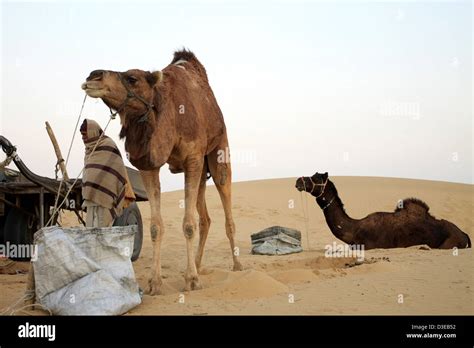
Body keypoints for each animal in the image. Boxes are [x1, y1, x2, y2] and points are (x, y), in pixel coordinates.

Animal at [81, 49, 243, 294]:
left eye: (132, 78)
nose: (93, 76)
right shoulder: (150, 166)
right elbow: (156, 226)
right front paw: (154, 283)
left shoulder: (193, 158)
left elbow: (188, 224)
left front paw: (192, 281)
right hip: (201, 172)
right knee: (205, 218)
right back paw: (197, 265)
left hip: (218, 152)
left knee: (226, 207)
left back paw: (237, 265)